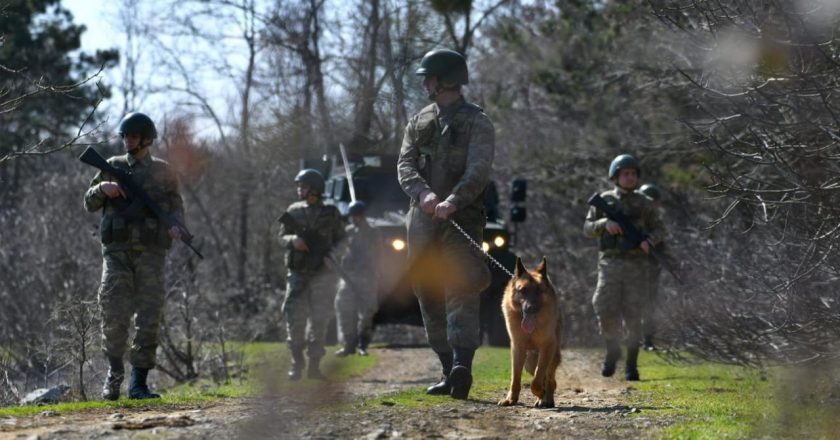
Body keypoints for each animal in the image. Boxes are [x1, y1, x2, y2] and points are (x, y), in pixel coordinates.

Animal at [496, 256, 560, 408]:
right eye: (523, 290)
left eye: (539, 291)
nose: (531, 308)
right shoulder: (517, 349)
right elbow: (515, 378)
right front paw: (511, 399)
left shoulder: (547, 347)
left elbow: (537, 379)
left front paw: (541, 393)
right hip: (529, 362)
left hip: (551, 356)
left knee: (550, 379)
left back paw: (546, 399)